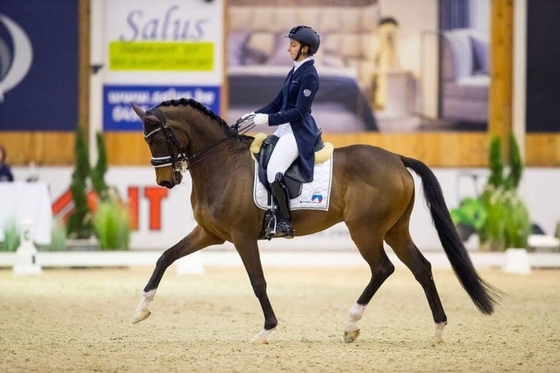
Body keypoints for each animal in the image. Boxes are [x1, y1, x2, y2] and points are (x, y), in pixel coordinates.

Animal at [132, 98, 504, 342]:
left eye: (159, 138)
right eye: (146, 141)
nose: (165, 181)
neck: (220, 162)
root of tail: (397, 158)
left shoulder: (241, 236)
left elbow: (257, 282)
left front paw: (267, 329)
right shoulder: (210, 233)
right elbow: (165, 257)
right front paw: (141, 309)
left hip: (365, 230)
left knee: (383, 268)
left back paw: (352, 324)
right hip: (395, 230)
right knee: (421, 268)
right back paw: (438, 329)